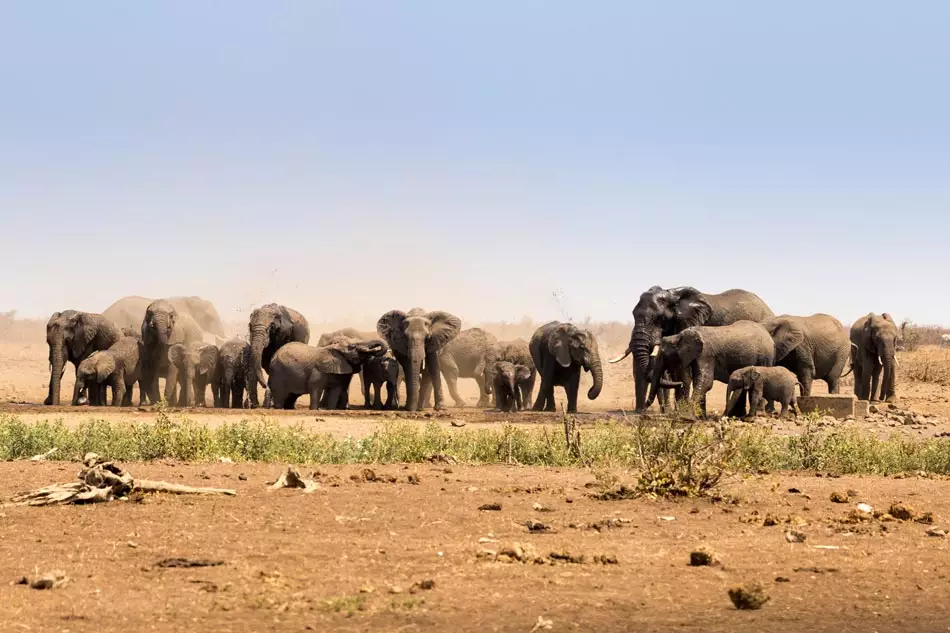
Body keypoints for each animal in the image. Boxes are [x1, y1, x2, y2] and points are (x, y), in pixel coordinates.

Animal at [644, 318, 776, 418]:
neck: (678, 336)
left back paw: (758, 415)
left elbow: (705, 382)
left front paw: (687, 417)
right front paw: (701, 418)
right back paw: (738, 416)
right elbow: (700, 381)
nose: (644, 411)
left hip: (765, 357)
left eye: (664, 355)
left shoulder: (706, 354)